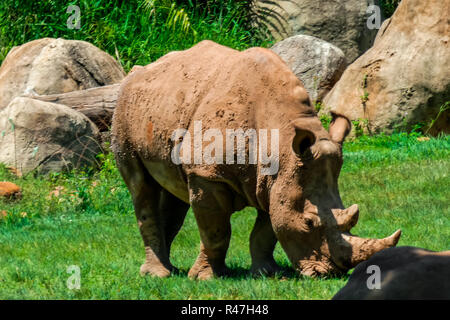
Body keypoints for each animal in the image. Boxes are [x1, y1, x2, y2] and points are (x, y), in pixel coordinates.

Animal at [111, 40, 400, 280]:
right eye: (309, 222)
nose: (330, 273)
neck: (281, 143)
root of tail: (137, 73)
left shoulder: (276, 179)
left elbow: (266, 231)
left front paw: (268, 273)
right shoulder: (208, 175)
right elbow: (217, 232)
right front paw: (207, 278)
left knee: (174, 191)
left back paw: (170, 270)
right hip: (122, 111)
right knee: (141, 187)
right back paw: (158, 275)